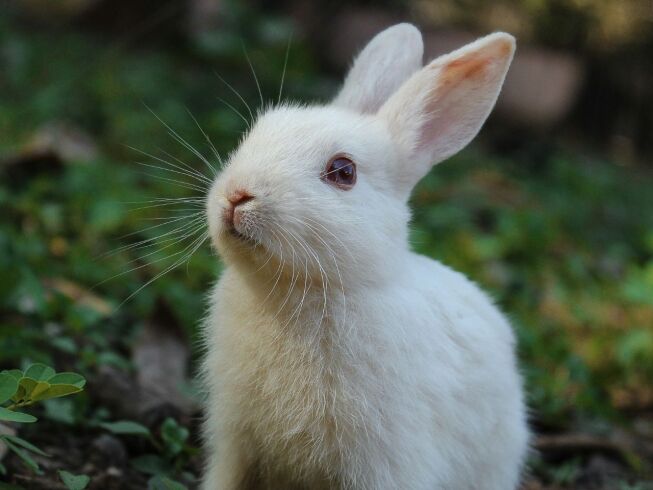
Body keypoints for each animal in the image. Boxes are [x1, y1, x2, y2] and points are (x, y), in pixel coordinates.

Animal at [201, 23, 528, 490]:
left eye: (344, 172)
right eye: (256, 134)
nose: (236, 196)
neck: (303, 289)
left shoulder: (384, 462)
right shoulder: (234, 443)